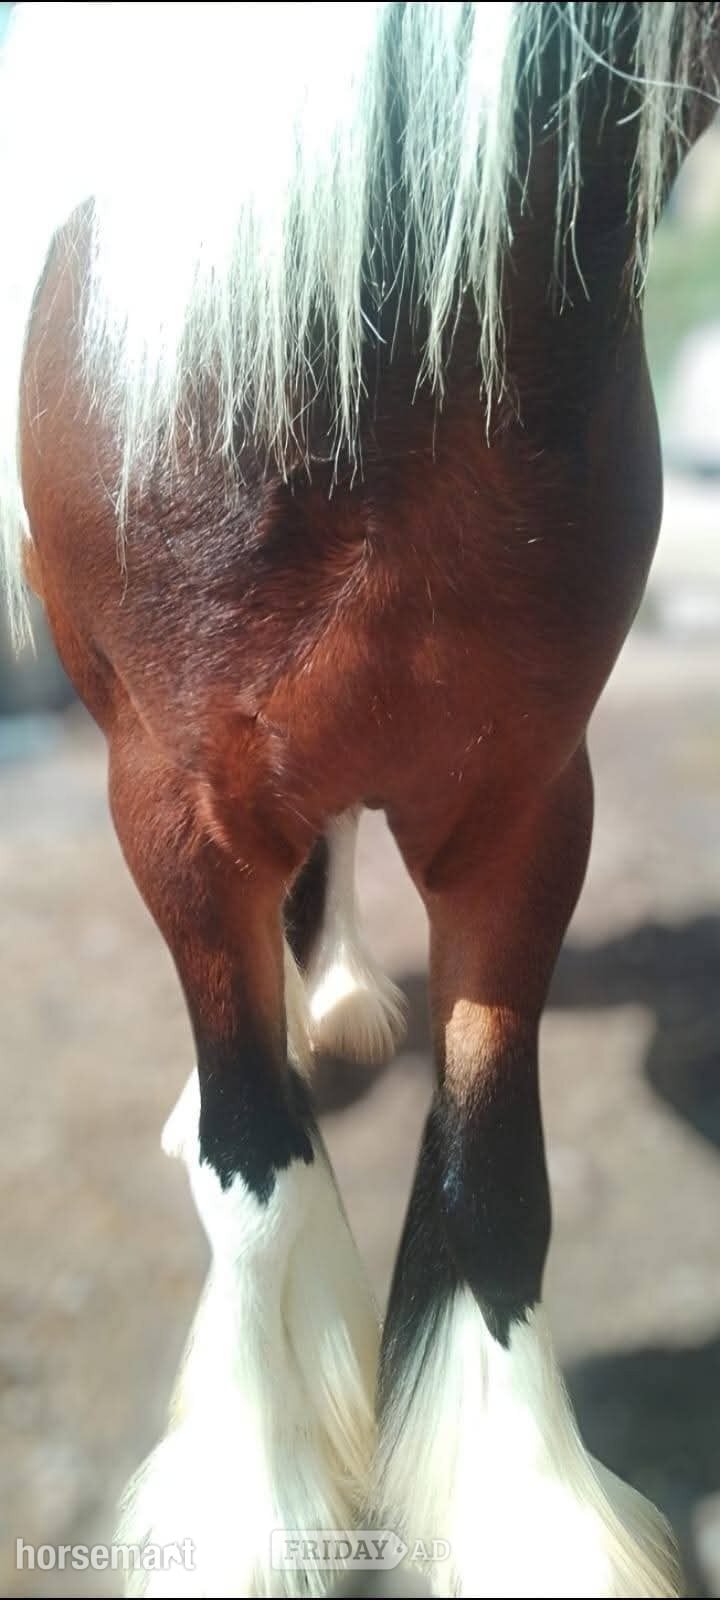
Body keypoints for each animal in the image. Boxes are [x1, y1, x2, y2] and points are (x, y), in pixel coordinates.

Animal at [1, 3, 717, 1595]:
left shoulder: (528, 803)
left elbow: (495, 1181)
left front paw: (529, 1509)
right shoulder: (176, 807)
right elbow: (254, 1177)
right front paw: (248, 1510)